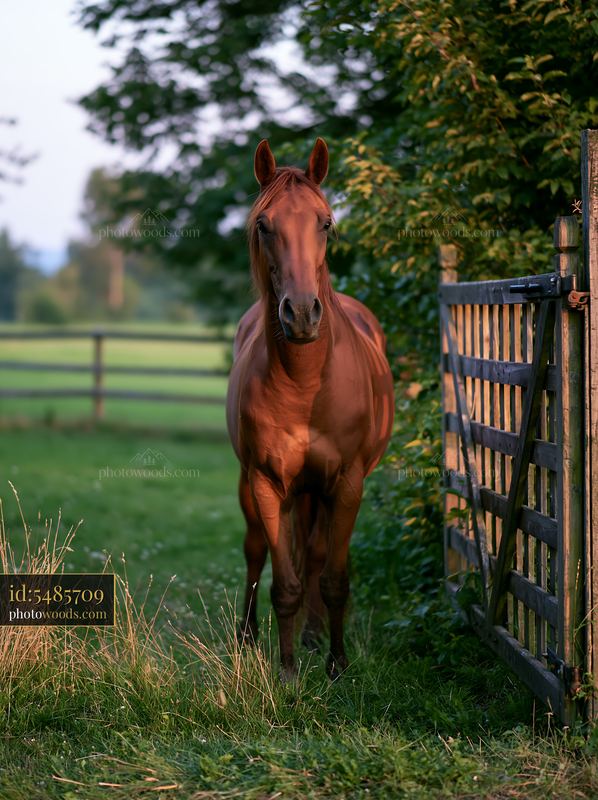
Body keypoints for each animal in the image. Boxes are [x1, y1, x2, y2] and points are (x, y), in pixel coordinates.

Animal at [226, 137, 394, 679]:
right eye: (263, 225)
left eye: (325, 222)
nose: (301, 313)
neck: (303, 384)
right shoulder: (266, 481)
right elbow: (284, 583)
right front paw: (286, 670)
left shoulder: (347, 483)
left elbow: (333, 577)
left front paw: (337, 662)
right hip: (258, 486)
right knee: (256, 551)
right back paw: (247, 635)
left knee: (317, 555)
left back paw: (317, 635)